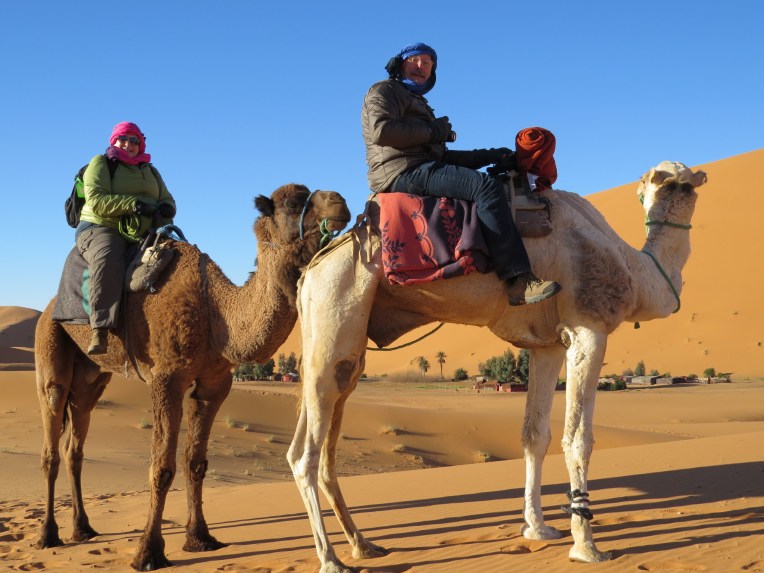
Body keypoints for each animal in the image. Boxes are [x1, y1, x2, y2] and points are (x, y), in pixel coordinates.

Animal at [34, 183, 350, 571]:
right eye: (293, 203)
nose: (340, 202)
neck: (216, 313)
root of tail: (48, 308)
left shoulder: (214, 385)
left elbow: (196, 462)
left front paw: (200, 538)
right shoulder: (167, 378)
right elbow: (162, 467)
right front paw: (148, 552)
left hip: (92, 379)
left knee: (74, 445)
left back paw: (83, 529)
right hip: (50, 347)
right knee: (51, 437)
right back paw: (48, 535)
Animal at [287, 161, 707, 572]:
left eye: (683, 184)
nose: (671, 186)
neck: (635, 270)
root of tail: (311, 270)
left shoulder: (548, 345)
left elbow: (535, 435)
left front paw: (538, 529)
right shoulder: (588, 328)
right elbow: (578, 440)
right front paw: (586, 547)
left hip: (336, 337)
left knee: (320, 432)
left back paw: (363, 546)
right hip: (336, 303)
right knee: (306, 453)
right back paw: (331, 560)